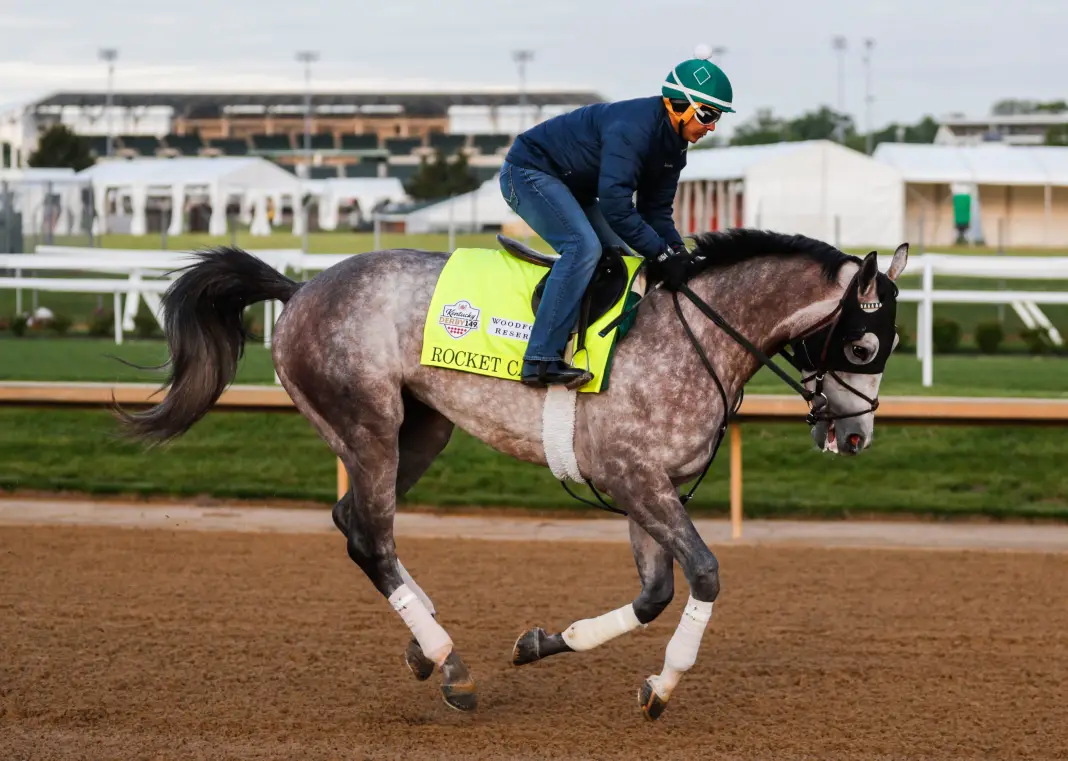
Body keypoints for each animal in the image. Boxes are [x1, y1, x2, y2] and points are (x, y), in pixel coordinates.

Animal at [114, 228, 909, 721]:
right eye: (864, 344)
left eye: (890, 344)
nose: (857, 435)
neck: (696, 338)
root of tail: (301, 286)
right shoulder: (634, 477)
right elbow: (706, 575)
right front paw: (664, 683)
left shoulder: (647, 488)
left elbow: (654, 594)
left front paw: (546, 643)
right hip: (367, 424)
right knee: (369, 536)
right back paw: (447, 661)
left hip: (421, 429)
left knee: (356, 524)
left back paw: (425, 634)